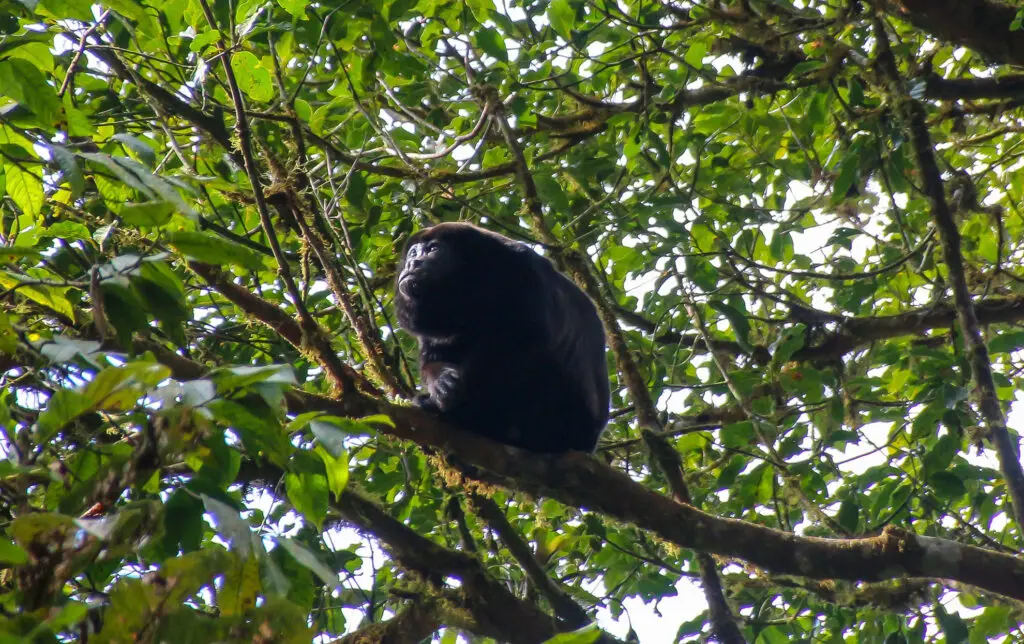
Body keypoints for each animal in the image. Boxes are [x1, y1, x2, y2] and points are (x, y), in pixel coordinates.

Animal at [394, 222, 609, 453]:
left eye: (433, 249)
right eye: (413, 252)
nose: (412, 262)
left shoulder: (520, 271)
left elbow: (520, 342)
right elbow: (434, 357)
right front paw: (441, 382)